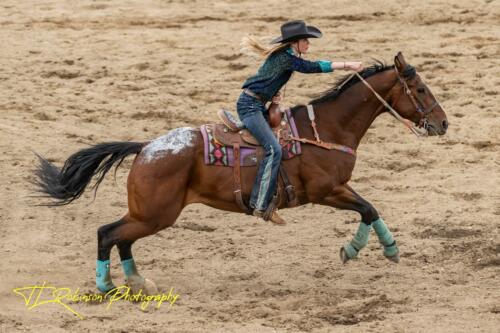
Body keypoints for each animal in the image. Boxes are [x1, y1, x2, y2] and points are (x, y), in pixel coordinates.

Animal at [35, 50, 450, 292]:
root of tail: (147, 147)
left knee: (121, 237)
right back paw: (106, 286)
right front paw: (363, 250)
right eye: (419, 88)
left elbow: (371, 208)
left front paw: (381, 249)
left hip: (148, 214)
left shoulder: (339, 188)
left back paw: (138, 281)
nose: (443, 123)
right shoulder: (326, 191)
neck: (327, 128)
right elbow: (367, 208)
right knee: (108, 233)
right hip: (155, 214)